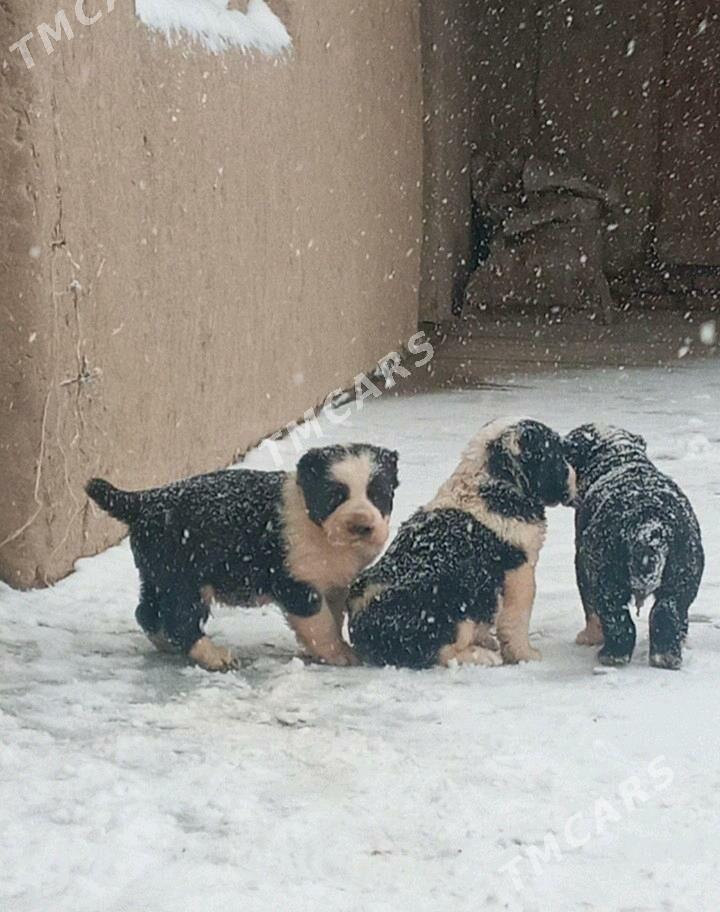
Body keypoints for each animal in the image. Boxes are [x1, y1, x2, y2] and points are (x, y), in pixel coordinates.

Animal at [87, 446, 400, 672]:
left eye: (378, 496)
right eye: (335, 496)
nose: (361, 525)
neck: (321, 530)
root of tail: (143, 501)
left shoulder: (334, 584)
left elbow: (332, 617)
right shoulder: (297, 584)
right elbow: (320, 622)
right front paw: (339, 653)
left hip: (157, 575)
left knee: (147, 612)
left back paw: (166, 644)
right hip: (184, 580)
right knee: (180, 618)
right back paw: (214, 657)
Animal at [346, 420, 576, 668]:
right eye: (556, 455)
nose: (574, 474)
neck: (494, 484)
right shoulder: (519, 572)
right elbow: (517, 620)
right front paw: (526, 655)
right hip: (452, 599)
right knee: (440, 652)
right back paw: (482, 656)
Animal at [564, 422, 704, 668]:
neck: (618, 457)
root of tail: (649, 522)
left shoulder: (581, 562)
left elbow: (590, 608)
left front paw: (589, 637)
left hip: (605, 572)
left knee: (615, 615)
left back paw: (612, 655)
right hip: (684, 567)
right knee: (668, 609)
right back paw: (667, 656)